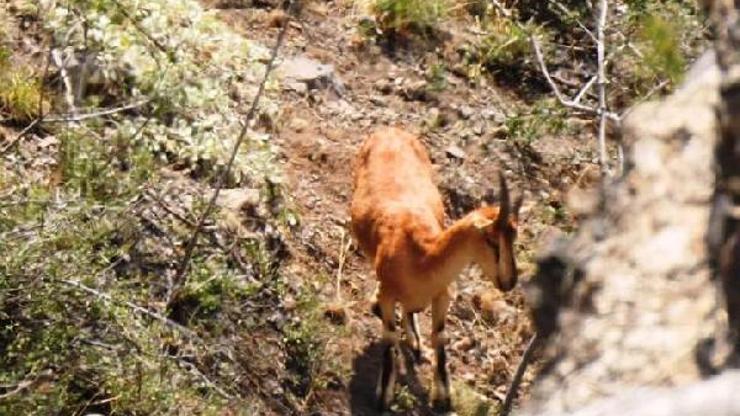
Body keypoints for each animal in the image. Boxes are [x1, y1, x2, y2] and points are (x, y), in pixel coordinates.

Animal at [352, 127, 520, 412]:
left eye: (514, 238)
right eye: (491, 240)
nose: (509, 281)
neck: (421, 256)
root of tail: (389, 130)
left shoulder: (442, 294)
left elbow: (439, 336)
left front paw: (442, 396)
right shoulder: (389, 294)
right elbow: (389, 335)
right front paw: (383, 394)